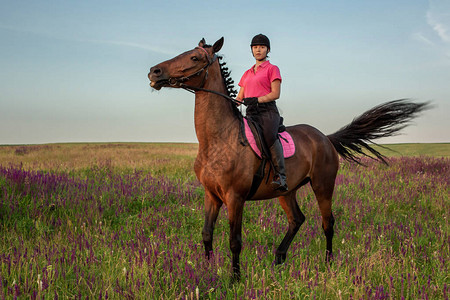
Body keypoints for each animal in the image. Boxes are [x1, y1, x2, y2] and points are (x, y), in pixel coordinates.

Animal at [148, 37, 428, 282]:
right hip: (286, 191)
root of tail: (324, 138)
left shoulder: (235, 197)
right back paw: (279, 258)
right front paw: (207, 270)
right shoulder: (211, 195)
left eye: (194, 57)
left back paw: (328, 263)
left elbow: (235, 241)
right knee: (297, 219)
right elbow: (207, 234)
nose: (154, 71)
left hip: (323, 186)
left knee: (328, 223)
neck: (220, 138)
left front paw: (235, 279)